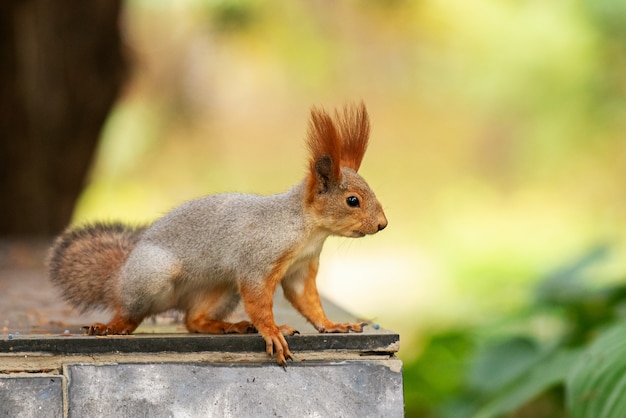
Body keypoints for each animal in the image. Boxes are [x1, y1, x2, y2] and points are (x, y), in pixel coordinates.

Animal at [48, 102, 388, 366]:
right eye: (353, 200)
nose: (383, 224)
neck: (307, 231)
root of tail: (118, 277)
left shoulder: (301, 269)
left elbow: (308, 302)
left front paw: (332, 325)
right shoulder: (257, 262)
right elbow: (259, 301)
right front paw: (273, 330)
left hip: (221, 288)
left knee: (193, 321)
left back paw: (231, 326)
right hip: (152, 276)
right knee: (131, 312)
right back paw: (113, 325)